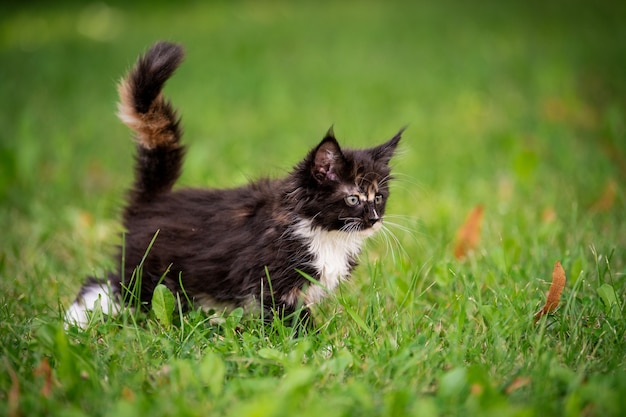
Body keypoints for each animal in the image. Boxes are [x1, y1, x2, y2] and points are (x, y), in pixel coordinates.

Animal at [66, 42, 402, 328]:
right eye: (354, 199)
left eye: (379, 197)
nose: (374, 219)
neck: (325, 234)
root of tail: (154, 200)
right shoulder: (271, 282)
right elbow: (295, 321)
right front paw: (321, 347)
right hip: (147, 272)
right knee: (106, 286)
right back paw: (74, 322)